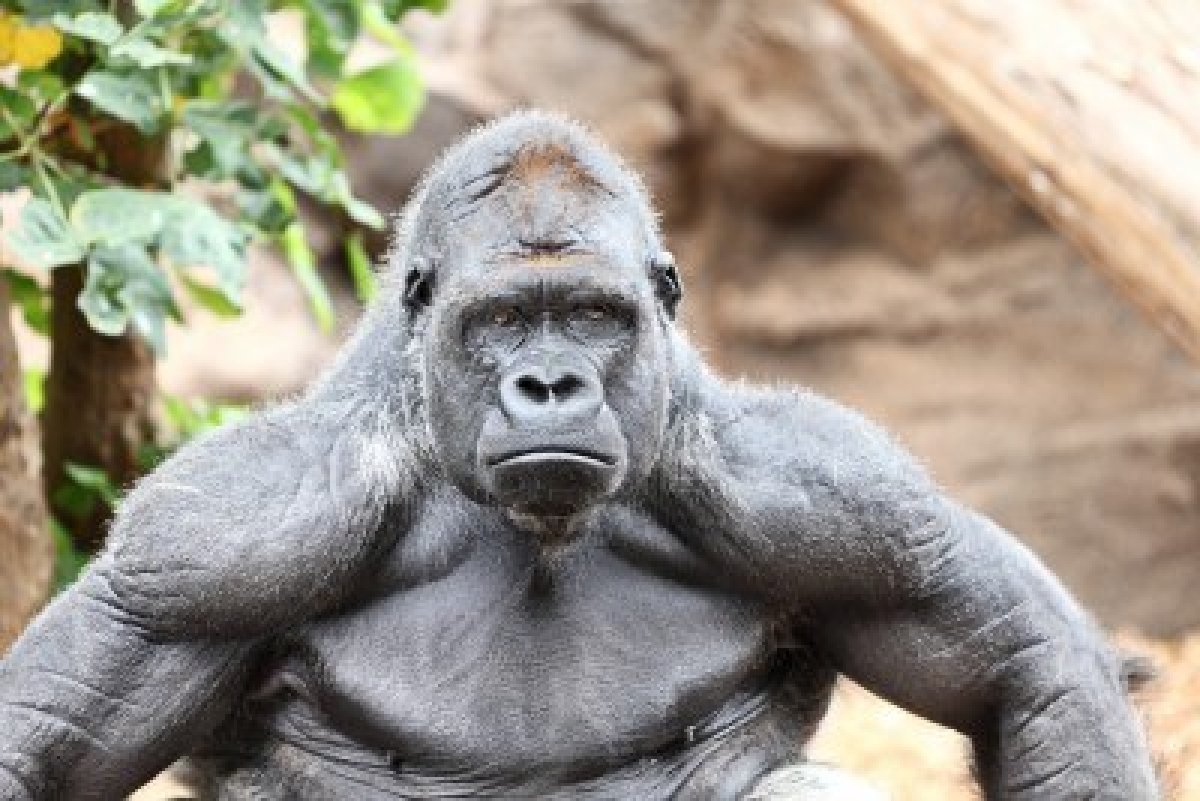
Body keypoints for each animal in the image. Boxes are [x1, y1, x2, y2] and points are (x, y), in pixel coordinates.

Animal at [0, 111, 1157, 800]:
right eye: (506, 320)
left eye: (595, 317)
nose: (550, 384)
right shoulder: (219, 538)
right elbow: (44, 739)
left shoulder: (842, 501)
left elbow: (1027, 664)